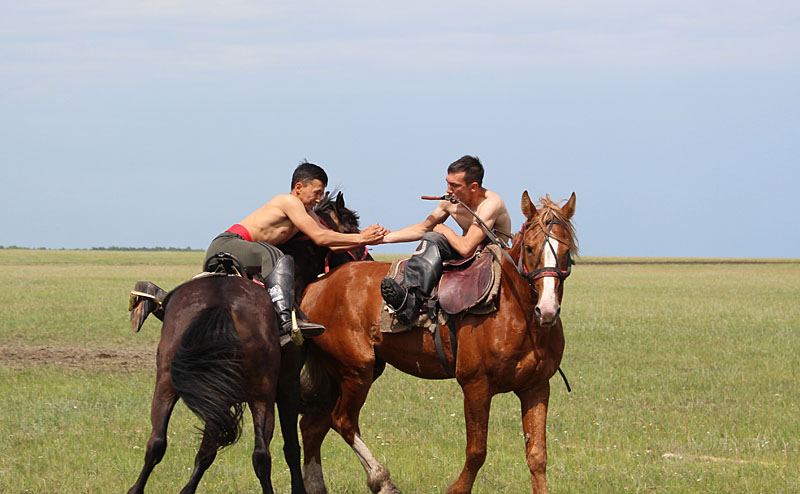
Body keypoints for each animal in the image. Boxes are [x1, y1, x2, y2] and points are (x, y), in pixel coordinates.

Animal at [130, 192, 368, 494]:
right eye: (352, 228)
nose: (368, 258)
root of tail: (221, 300)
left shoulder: (218, 392)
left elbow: (206, 449)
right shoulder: (287, 386)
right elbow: (291, 448)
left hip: (166, 384)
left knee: (156, 443)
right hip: (261, 393)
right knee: (261, 455)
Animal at [296, 192, 580, 494]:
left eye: (566, 251)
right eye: (528, 247)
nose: (547, 309)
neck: (512, 309)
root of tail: (315, 287)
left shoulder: (536, 388)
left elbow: (537, 455)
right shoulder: (476, 386)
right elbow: (476, 451)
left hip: (346, 373)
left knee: (314, 425)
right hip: (357, 370)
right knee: (343, 421)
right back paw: (382, 480)